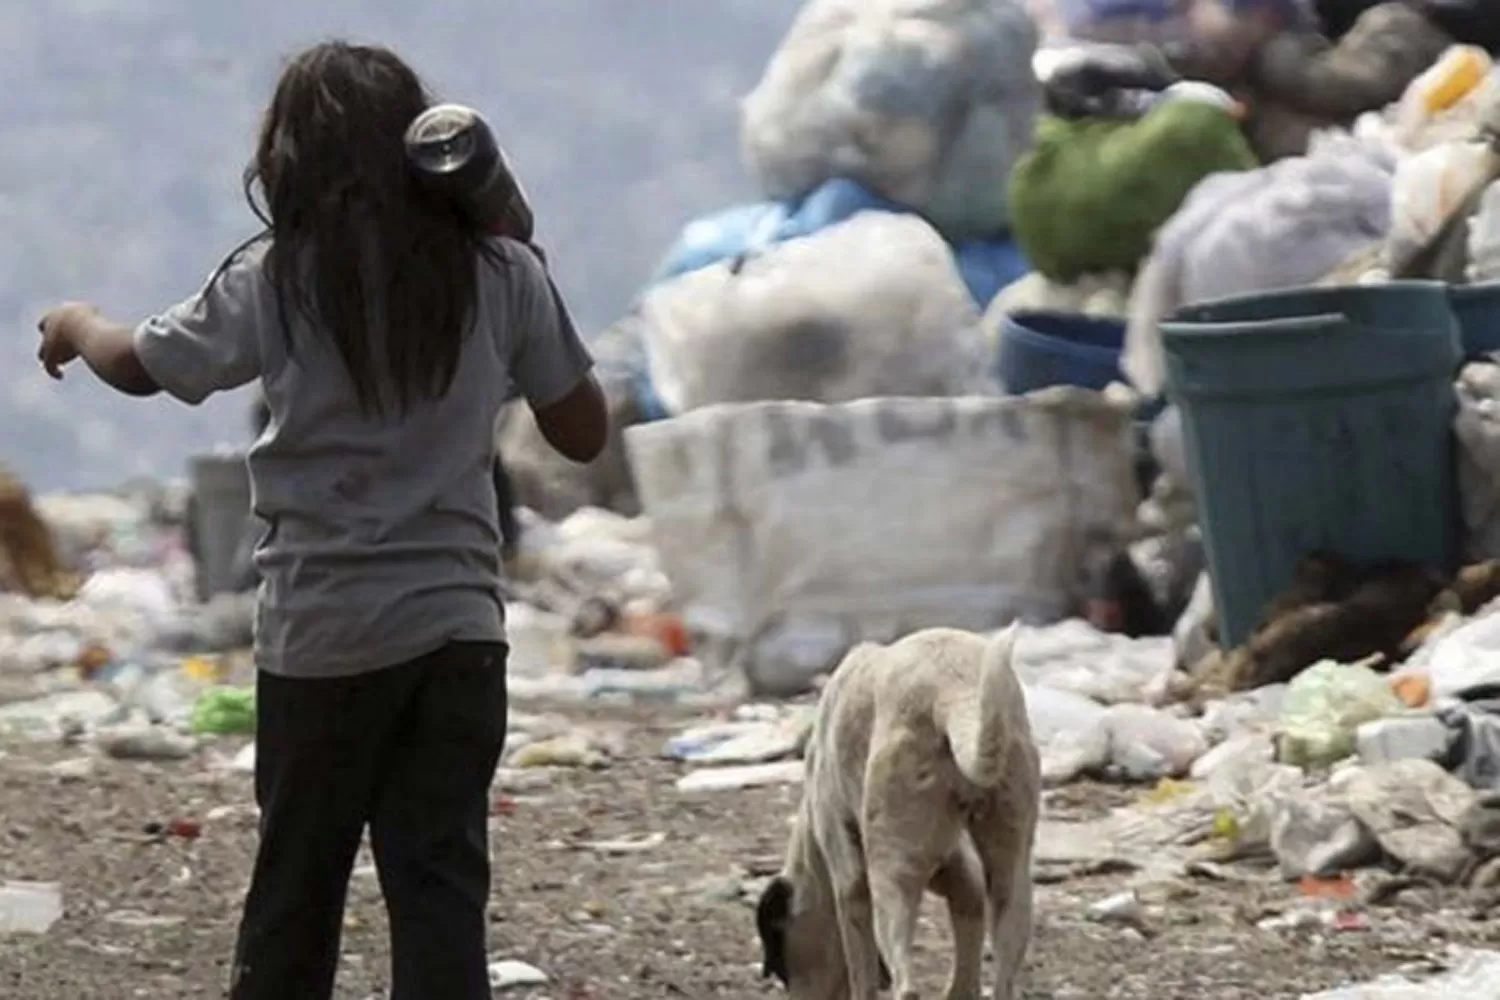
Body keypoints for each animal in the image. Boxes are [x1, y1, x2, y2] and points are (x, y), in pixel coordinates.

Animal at [756, 629, 1038, 995]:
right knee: (1006, 973)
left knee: (907, 984)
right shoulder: (959, 872)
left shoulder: (850, 884)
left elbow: (860, 972)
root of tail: (952, 689)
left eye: (781, 965)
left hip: (891, 876)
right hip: (1012, 870)